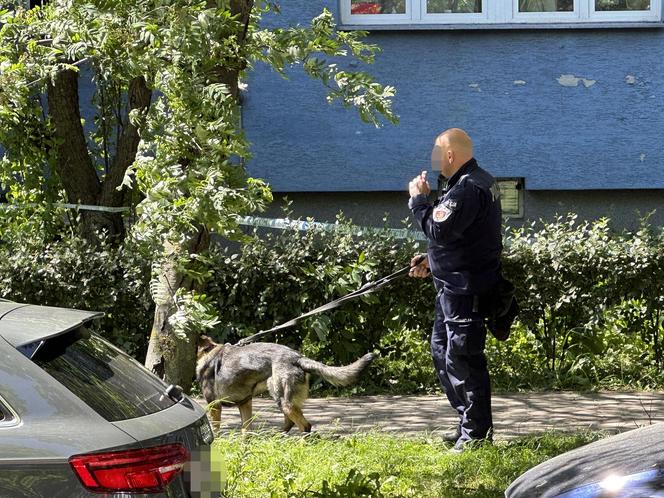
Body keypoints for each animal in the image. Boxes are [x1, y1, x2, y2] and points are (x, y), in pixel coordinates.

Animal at [196, 336, 374, 434]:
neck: (208, 350)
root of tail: (298, 357)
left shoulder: (214, 405)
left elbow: (216, 430)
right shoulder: (245, 404)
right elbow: (246, 431)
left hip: (282, 399)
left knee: (305, 425)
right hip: (284, 400)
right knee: (290, 423)